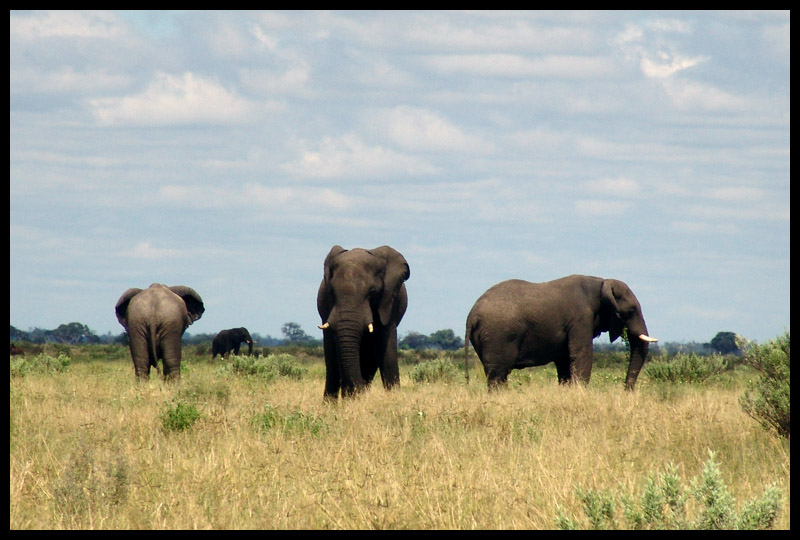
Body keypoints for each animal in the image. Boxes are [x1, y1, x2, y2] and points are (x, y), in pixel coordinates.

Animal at [316, 247, 410, 398]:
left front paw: (394, 398)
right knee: (332, 363)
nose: (356, 389)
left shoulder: (390, 302)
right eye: (332, 291)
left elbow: (386, 349)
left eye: (372, 291)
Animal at [468, 276, 656, 390]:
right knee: (498, 375)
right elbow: (581, 355)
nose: (626, 391)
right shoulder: (580, 319)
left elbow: (565, 360)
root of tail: (472, 316)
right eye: (631, 311)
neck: (602, 282)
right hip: (498, 335)